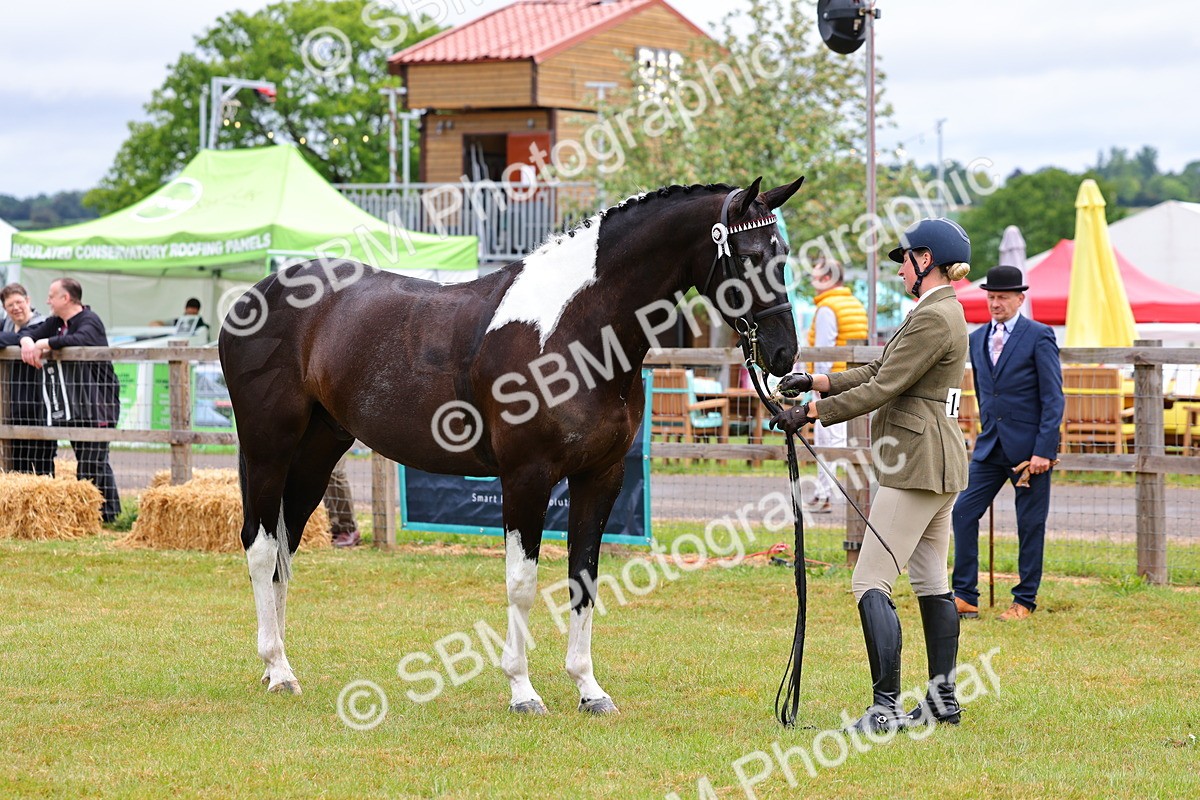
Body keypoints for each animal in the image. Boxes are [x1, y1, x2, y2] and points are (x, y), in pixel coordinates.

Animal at [218, 176, 804, 714]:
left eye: (783, 254)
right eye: (750, 255)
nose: (782, 354)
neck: (576, 329)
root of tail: (254, 296)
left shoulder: (601, 476)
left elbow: (583, 579)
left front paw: (589, 689)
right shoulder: (527, 476)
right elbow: (522, 581)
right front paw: (523, 691)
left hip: (317, 453)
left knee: (286, 547)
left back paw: (279, 665)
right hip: (268, 449)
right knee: (261, 545)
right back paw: (278, 671)